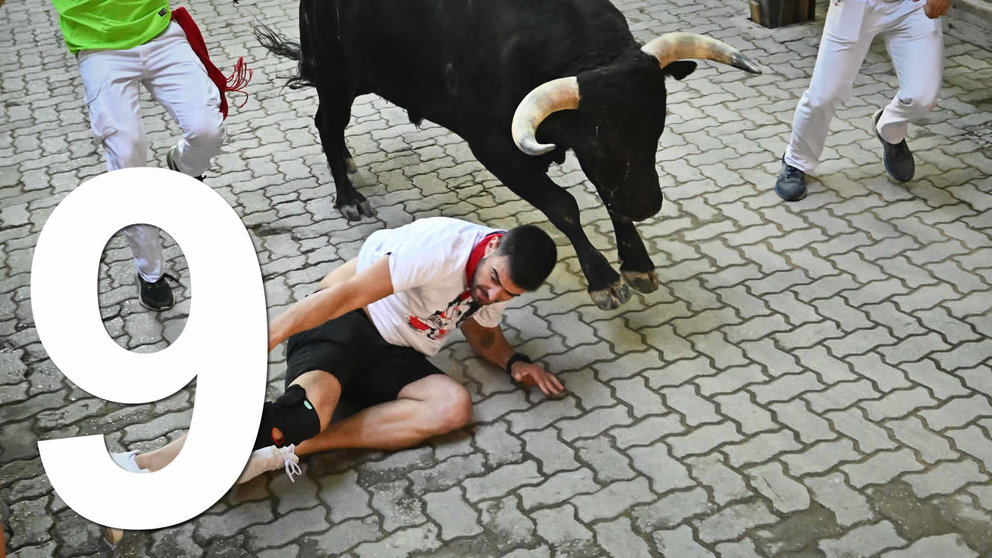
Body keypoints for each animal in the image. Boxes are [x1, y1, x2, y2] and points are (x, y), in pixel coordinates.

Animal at [256, 0, 760, 310]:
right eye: (599, 137)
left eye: (657, 124)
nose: (648, 204)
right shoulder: (496, 148)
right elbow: (564, 206)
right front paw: (603, 279)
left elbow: (608, 196)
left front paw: (637, 264)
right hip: (334, 72)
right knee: (326, 122)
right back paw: (347, 196)